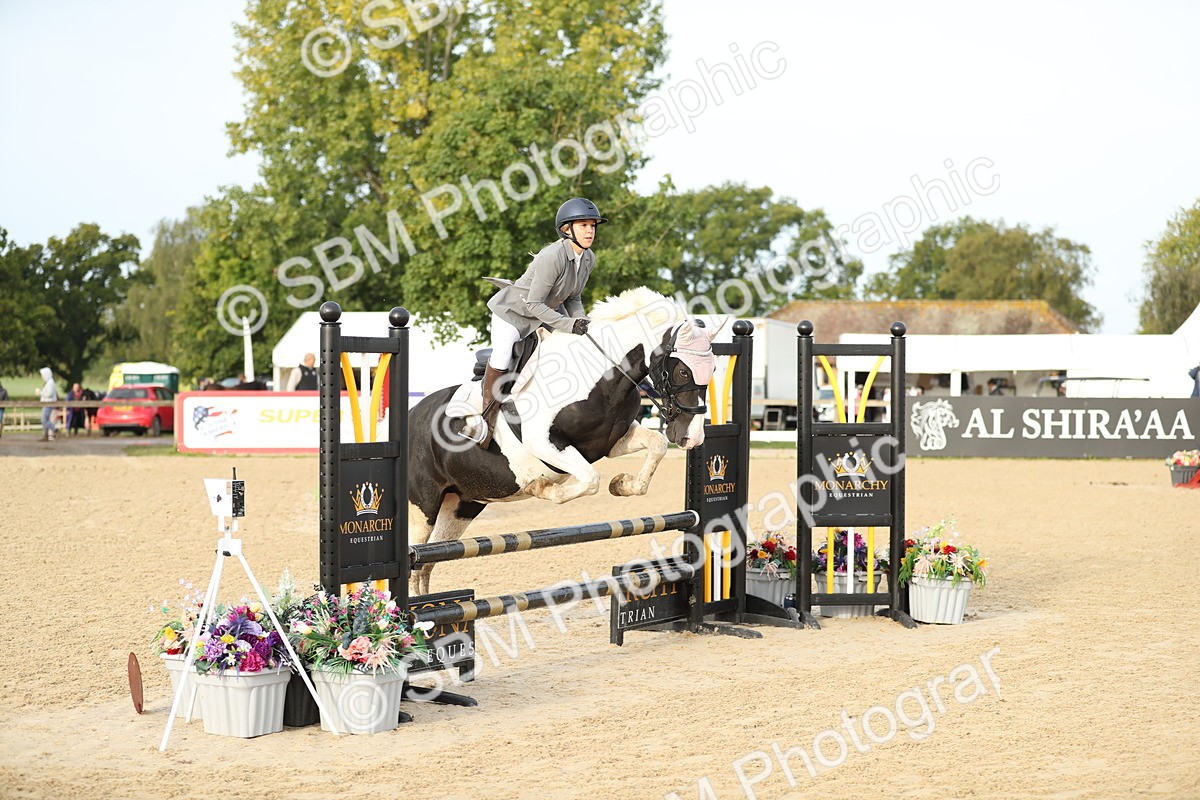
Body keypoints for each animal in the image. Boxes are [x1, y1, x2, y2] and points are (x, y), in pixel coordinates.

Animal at [407, 287, 724, 595]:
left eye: (713, 371)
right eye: (682, 371)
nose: (692, 437)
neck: (598, 378)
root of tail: (411, 415)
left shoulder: (612, 442)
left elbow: (655, 444)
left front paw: (622, 484)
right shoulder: (544, 443)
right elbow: (591, 479)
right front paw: (541, 487)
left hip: (462, 504)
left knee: (427, 562)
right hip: (422, 506)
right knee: (415, 557)